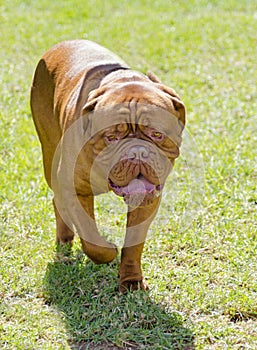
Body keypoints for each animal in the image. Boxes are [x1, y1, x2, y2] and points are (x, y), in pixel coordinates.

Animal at [31, 40, 185, 292]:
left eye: (156, 134)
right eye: (112, 137)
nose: (137, 152)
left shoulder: (148, 200)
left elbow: (134, 243)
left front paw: (131, 280)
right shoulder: (76, 189)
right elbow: (91, 239)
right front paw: (108, 251)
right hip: (49, 154)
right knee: (58, 200)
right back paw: (64, 239)